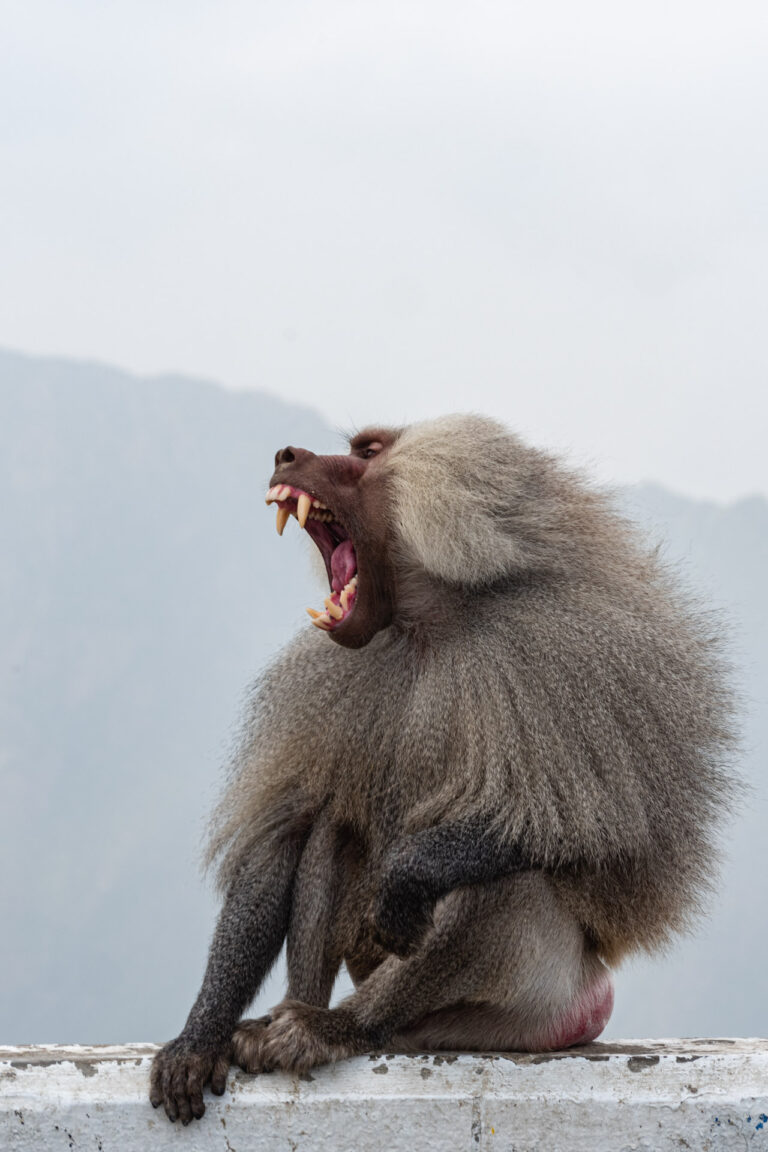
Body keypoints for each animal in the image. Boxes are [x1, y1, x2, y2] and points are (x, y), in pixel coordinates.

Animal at [149, 414, 738, 1124]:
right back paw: (293, 1018)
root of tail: (589, 1001)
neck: (430, 622)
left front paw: (408, 876)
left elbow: (594, 835)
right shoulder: (325, 672)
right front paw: (198, 1039)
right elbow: (284, 835)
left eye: (367, 452)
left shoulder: (571, 657)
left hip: (536, 1003)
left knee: (502, 882)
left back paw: (339, 1028)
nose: (286, 454)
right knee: (334, 827)